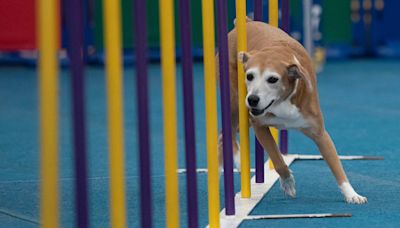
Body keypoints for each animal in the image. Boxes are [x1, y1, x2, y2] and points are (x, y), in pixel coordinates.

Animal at [217, 17, 368, 203]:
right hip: (234, 100)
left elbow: (336, 166)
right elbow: (276, 157)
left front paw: (352, 194)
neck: (282, 101)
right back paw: (237, 162)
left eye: (273, 79)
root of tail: (246, 21)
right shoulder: (260, 126)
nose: (252, 99)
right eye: (249, 76)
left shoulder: (320, 133)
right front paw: (287, 181)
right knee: (227, 133)